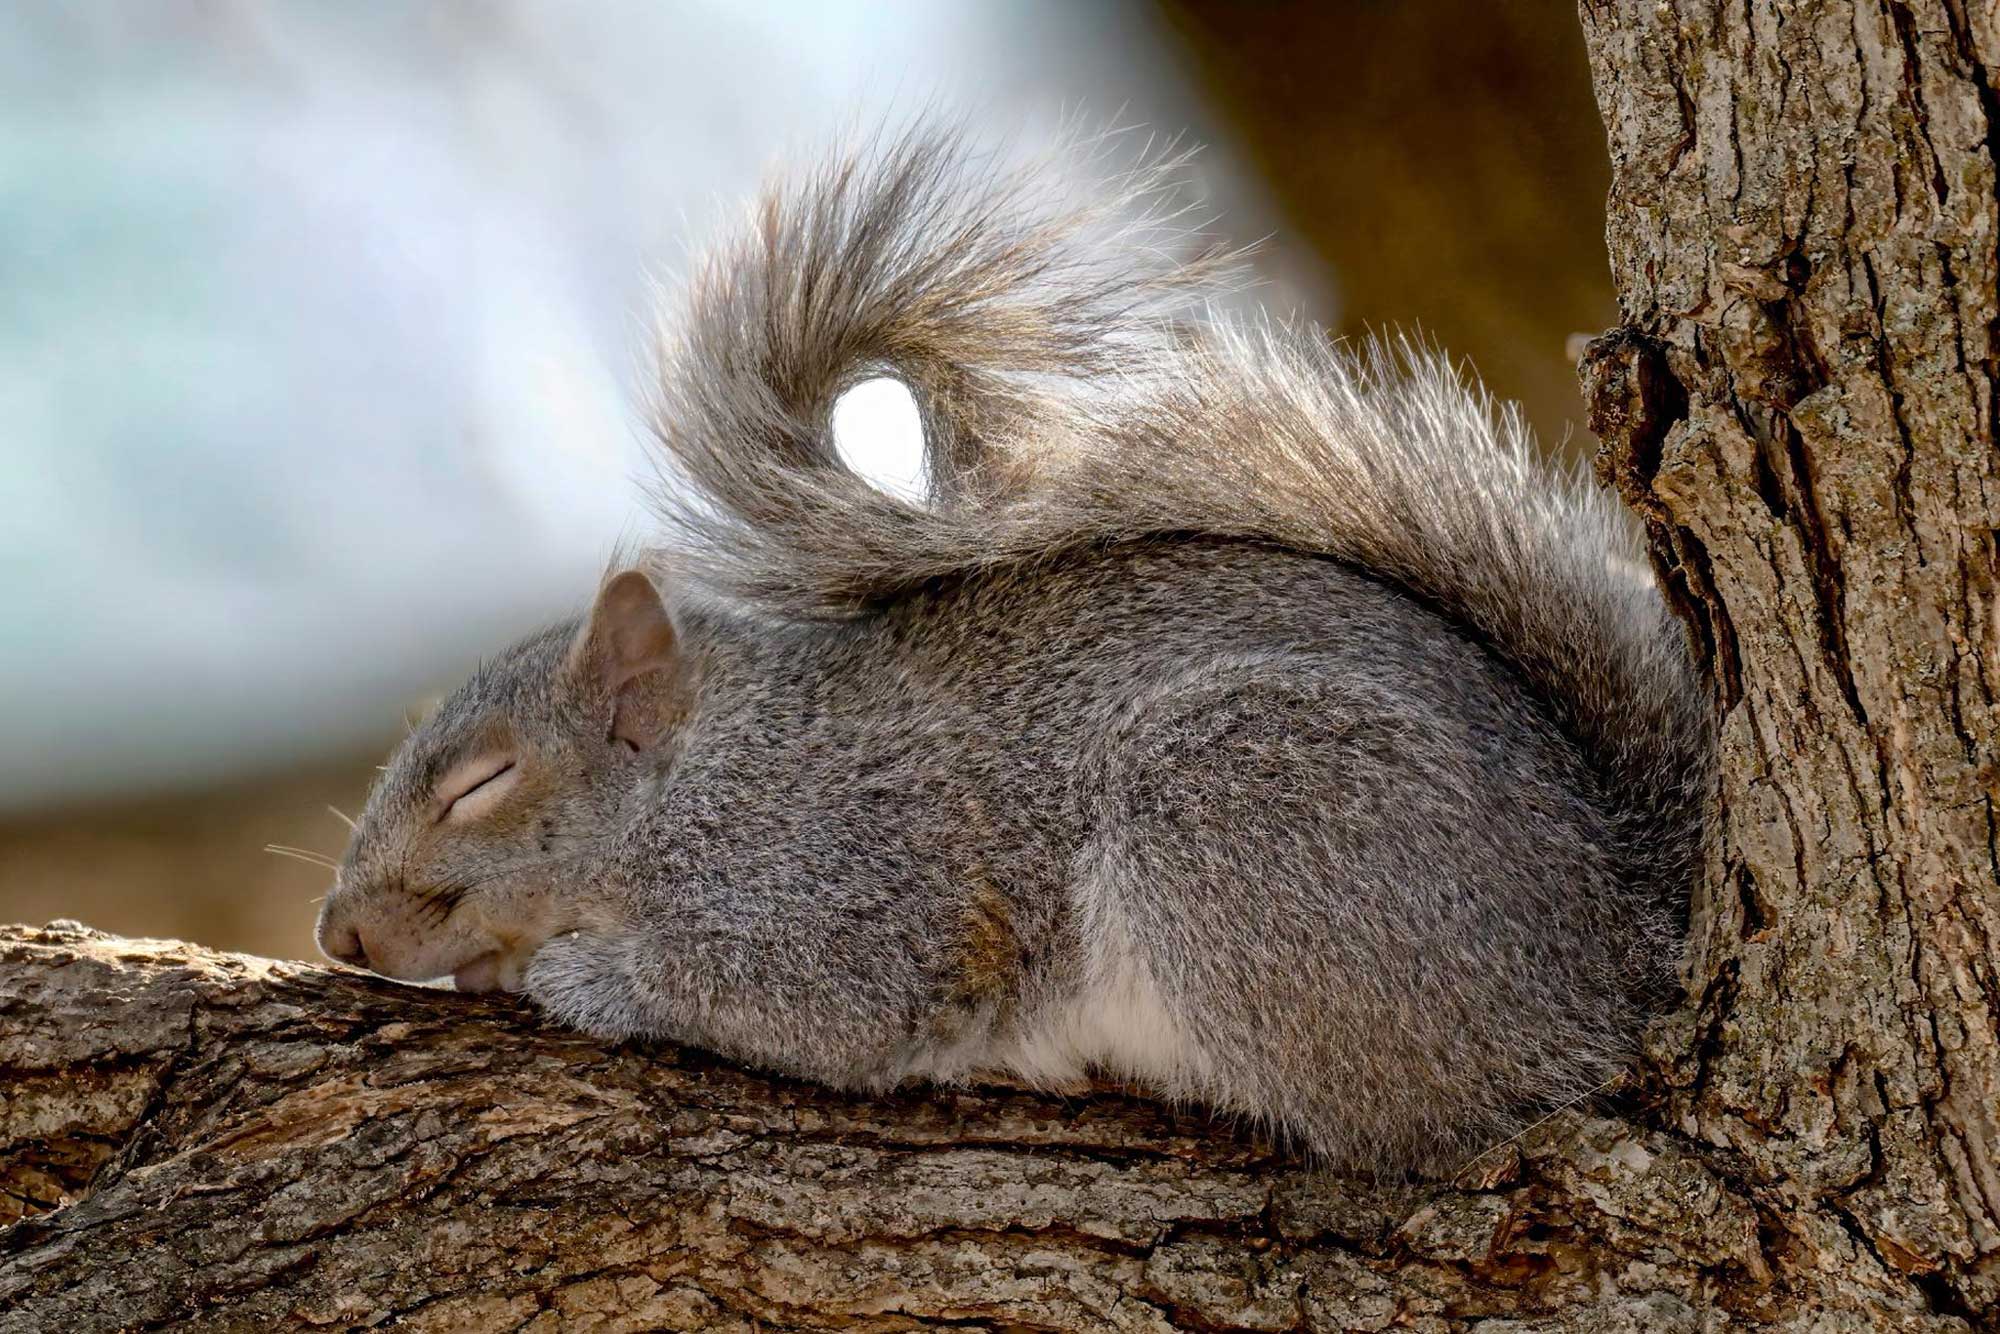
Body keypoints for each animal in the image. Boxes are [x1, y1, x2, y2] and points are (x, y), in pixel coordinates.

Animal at [315, 127, 1709, 1174]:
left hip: (1242, 807)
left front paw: (588, 976)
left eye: (481, 783)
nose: (335, 931)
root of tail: (1616, 939)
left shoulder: (849, 872)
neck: (715, 774)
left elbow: (812, 997)